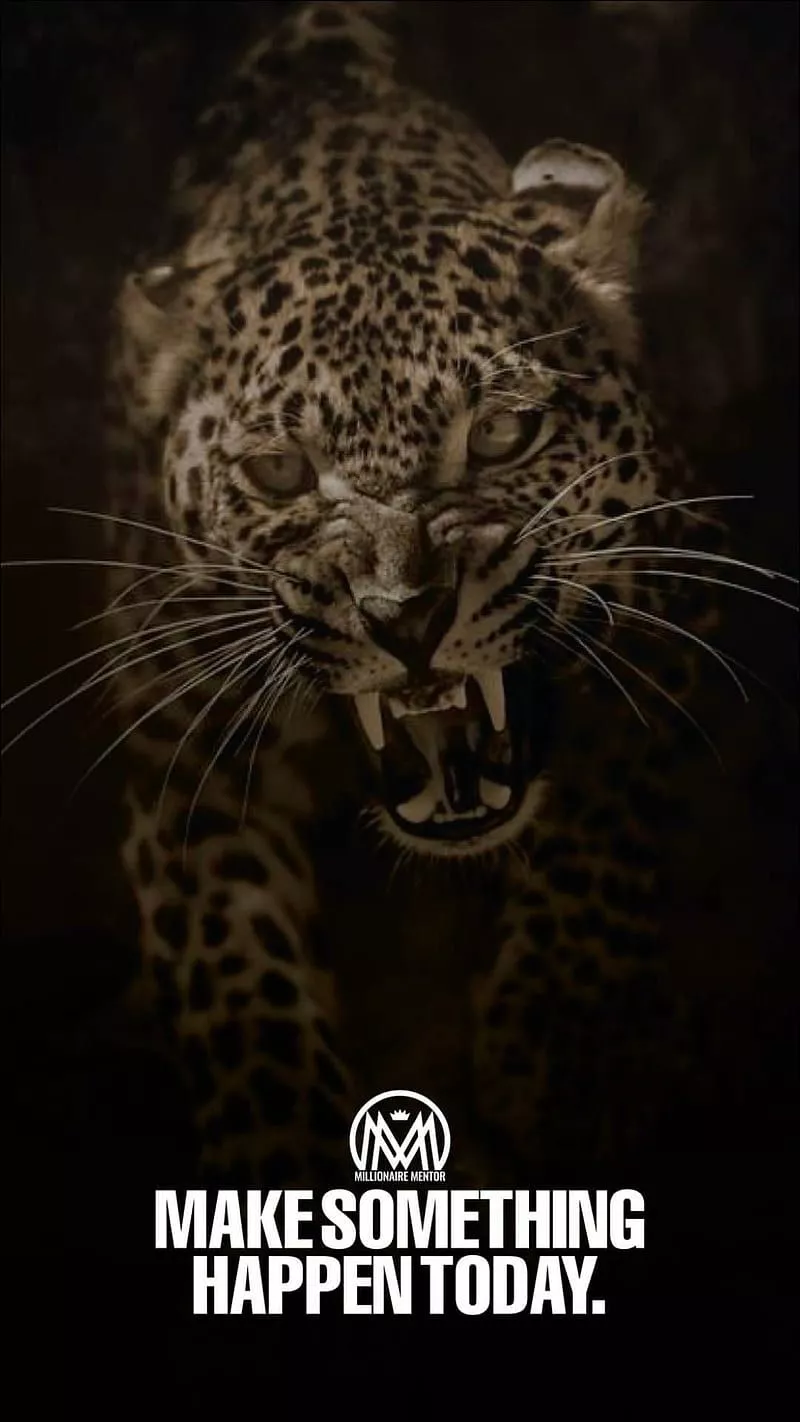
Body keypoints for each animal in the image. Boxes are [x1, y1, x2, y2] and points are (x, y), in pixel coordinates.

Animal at [104, 0, 737, 1187]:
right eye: (279, 473)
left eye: (502, 433)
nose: (404, 619)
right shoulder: (174, 717)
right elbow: (232, 965)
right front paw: (285, 1161)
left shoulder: (674, 578)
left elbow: (605, 818)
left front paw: (571, 1052)